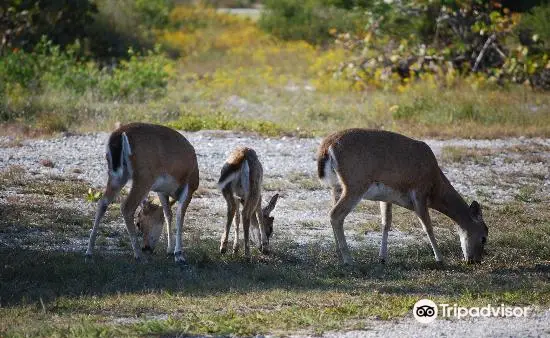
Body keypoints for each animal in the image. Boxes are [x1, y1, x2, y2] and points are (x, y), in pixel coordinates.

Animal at [85, 122, 199, 264]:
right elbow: (179, 216)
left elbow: (168, 214)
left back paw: (89, 252)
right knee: (126, 207)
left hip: (117, 175)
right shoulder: (190, 187)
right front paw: (179, 255)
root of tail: (118, 135)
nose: (146, 247)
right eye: (138, 223)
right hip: (143, 177)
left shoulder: (161, 191)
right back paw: (138, 255)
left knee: (102, 202)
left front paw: (170, 250)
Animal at [316, 128, 490, 266]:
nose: (474, 261)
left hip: (337, 187)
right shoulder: (419, 192)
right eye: (484, 237)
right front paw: (440, 259)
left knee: (334, 215)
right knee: (335, 214)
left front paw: (382, 258)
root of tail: (327, 147)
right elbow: (428, 227)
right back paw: (348, 259)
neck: (435, 186)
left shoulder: (386, 197)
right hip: (355, 185)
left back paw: (340, 256)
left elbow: (386, 223)